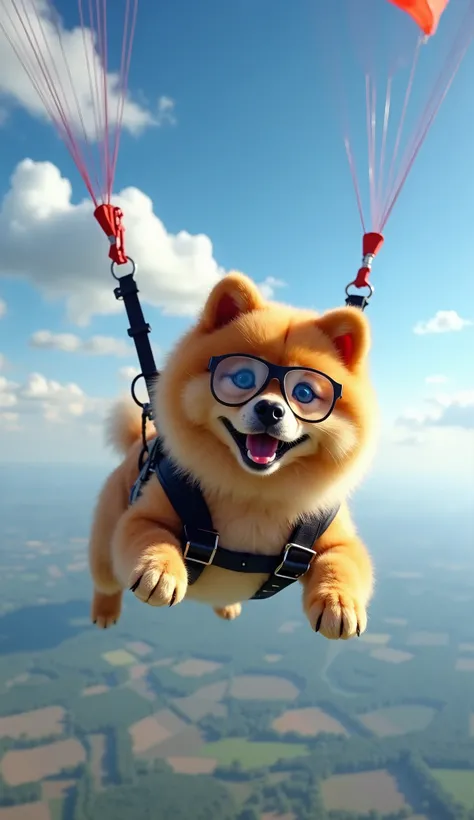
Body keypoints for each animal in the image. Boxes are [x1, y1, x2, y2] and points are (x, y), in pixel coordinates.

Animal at [89, 272, 378, 636]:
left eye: (304, 393)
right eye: (243, 378)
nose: (270, 409)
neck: (252, 493)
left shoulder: (334, 535)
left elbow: (343, 560)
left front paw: (339, 602)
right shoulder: (144, 515)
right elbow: (148, 533)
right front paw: (160, 571)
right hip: (106, 538)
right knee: (105, 577)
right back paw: (105, 610)